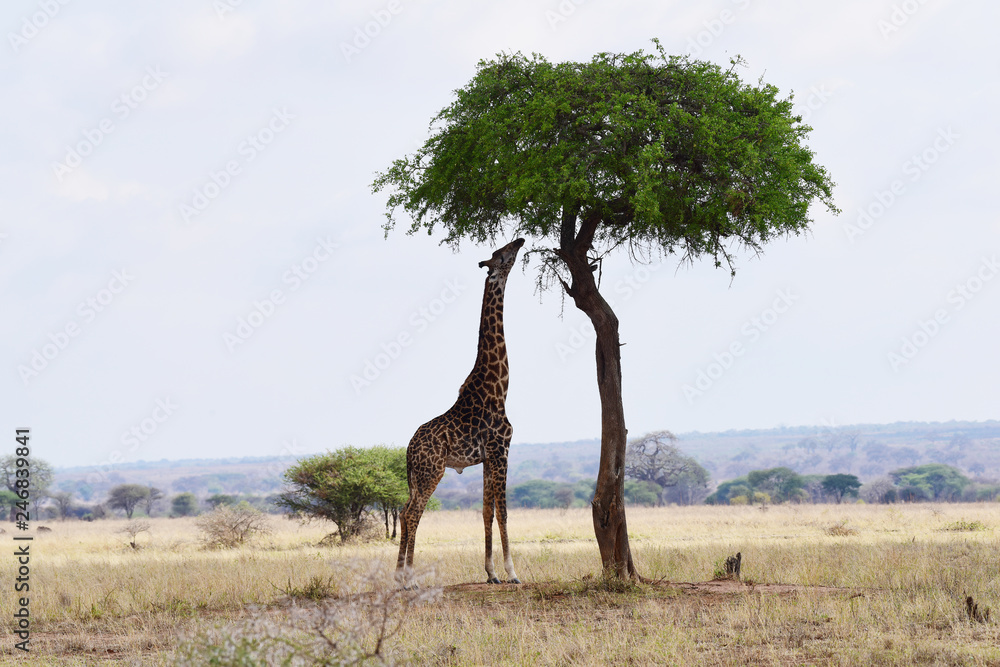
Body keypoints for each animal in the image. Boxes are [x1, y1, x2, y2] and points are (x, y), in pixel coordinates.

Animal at [396, 237, 525, 585]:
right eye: (502, 254)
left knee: (402, 510)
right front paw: (513, 572)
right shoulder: (501, 449)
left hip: (417, 475)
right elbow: (503, 510)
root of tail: (409, 450)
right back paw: (409, 578)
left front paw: (491, 573)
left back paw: (398, 575)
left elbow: (486, 511)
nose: (521, 240)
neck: (499, 388)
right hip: (432, 471)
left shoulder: (487, 457)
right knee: (412, 513)